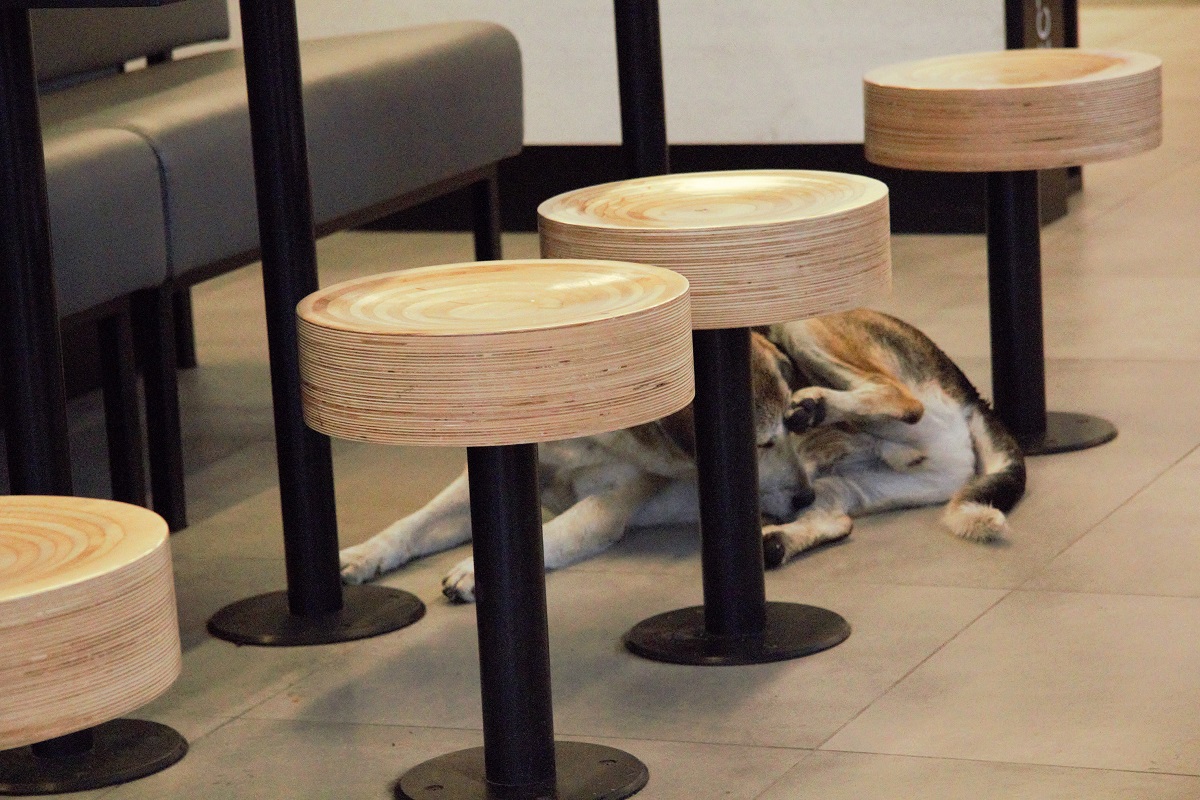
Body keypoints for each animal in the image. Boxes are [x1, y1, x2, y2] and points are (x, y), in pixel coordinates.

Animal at [338, 309, 1025, 602]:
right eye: (760, 443)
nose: (797, 491)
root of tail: (970, 393)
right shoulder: (471, 486)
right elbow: (411, 524)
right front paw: (361, 557)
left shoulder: (609, 503)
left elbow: (557, 530)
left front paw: (476, 572)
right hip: (858, 485)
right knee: (838, 517)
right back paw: (778, 540)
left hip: (813, 334)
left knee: (899, 401)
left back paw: (818, 406)